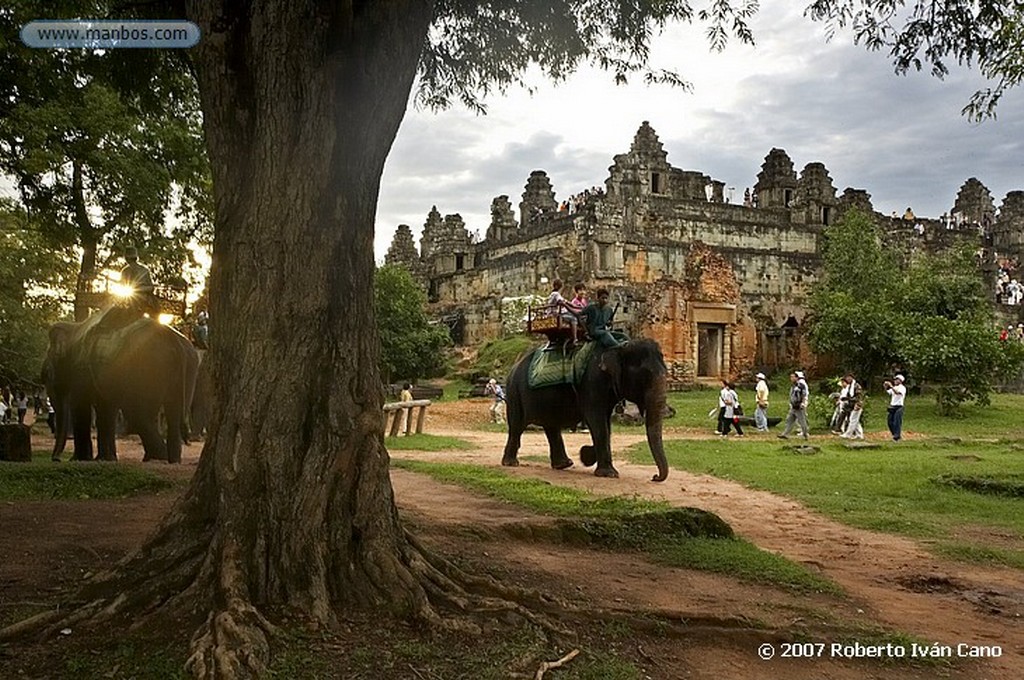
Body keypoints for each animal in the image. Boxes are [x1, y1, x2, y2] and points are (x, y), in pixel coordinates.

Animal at [44, 311, 199, 464]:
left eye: (47, 373)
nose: (56, 459)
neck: (75, 328)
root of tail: (173, 338)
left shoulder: (80, 369)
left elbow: (80, 405)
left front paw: (79, 459)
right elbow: (106, 408)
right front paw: (106, 459)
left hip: (149, 368)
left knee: (139, 415)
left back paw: (158, 458)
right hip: (188, 367)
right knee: (173, 415)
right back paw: (171, 460)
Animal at [497, 337, 671, 477]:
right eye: (645, 377)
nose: (655, 476)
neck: (619, 346)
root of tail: (513, 367)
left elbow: (605, 424)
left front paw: (587, 456)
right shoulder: (592, 382)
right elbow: (597, 421)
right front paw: (607, 473)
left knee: (551, 427)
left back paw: (564, 464)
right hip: (514, 392)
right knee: (517, 426)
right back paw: (511, 463)